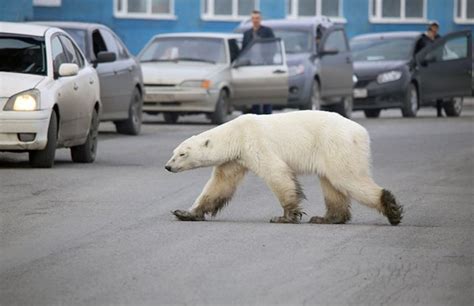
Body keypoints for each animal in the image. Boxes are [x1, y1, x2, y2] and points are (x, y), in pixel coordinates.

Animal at [165, 110, 402, 225]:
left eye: (182, 154)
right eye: (173, 152)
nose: (167, 166)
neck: (236, 134)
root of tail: (361, 132)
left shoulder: (255, 143)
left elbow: (276, 173)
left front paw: (285, 217)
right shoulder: (235, 159)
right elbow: (220, 185)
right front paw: (185, 213)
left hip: (336, 144)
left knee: (347, 178)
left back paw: (391, 209)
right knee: (331, 184)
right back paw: (326, 218)